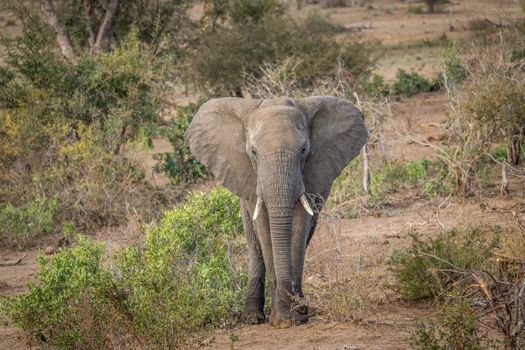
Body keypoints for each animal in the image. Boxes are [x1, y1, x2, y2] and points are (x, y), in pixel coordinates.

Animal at [186, 95, 366, 328]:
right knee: (254, 245)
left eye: (304, 150)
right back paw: (252, 317)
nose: (298, 307)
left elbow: (299, 227)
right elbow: (264, 229)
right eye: (253, 152)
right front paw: (281, 319)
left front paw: (293, 317)